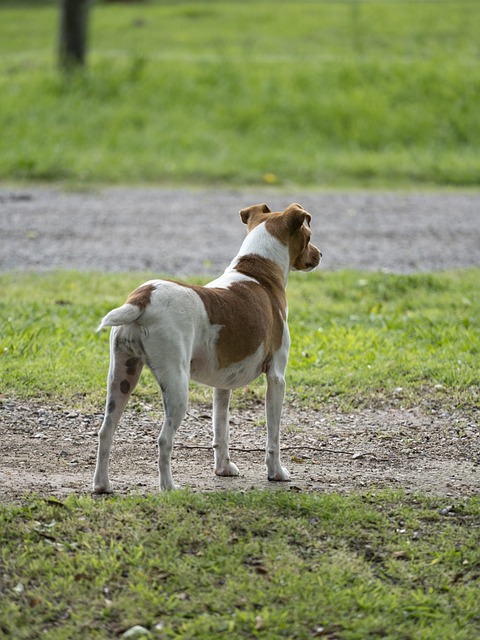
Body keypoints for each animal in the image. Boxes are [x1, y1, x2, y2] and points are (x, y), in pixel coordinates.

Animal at [92, 202, 320, 492]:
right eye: (309, 237)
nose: (320, 254)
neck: (258, 272)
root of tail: (142, 298)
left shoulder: (222, 385)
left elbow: (221, 430)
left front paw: (223, 469)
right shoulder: (277, 377)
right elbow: (273, 436)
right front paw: (276, 472)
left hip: (121, 377)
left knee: (105, 431)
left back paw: (102, 485)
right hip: (176, 386)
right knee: (163, 439)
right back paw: (169, 487)